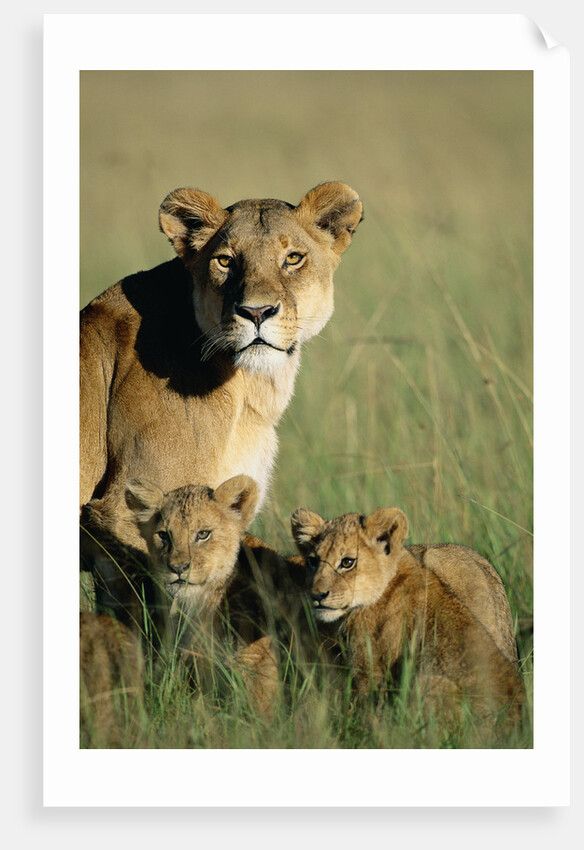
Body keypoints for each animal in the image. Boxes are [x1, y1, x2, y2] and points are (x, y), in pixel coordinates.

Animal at [291, 506, 525, 731]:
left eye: (347, 562)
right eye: (312, 561)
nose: (317, 595)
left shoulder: (370, 667)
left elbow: (367, 709)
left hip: (425, 681)